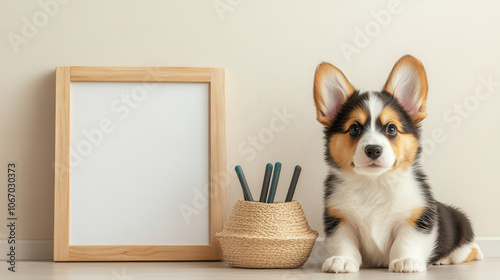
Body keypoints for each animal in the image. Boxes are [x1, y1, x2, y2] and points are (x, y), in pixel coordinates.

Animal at [314, 55, 482, 274]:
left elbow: (405, 241)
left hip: (461, 233)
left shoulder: (417, 217)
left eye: (391, 129)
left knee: (469, 251)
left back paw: (447, 258)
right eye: (354, 129)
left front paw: (406, 261)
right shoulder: (339, 219)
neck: (374, 183)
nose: (373, 150)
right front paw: (341, 260)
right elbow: (344, 243)